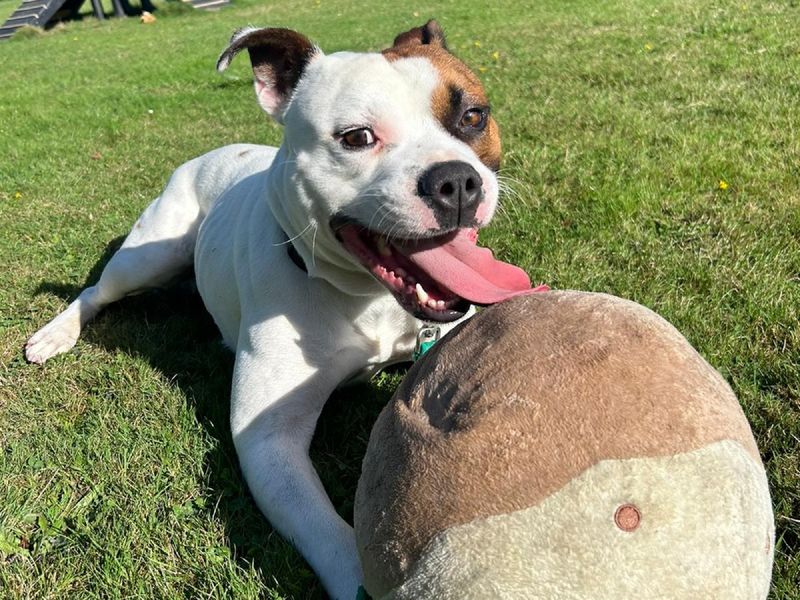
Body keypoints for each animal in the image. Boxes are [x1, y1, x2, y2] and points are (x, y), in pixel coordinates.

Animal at [25, 19, 536, 600]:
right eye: (357, 137)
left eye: (472, 117)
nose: (456, 181)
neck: (367, 299)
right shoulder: (269, 441)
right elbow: (330, 537)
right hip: (149, 255)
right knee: (96, 291)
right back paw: (55, 334)